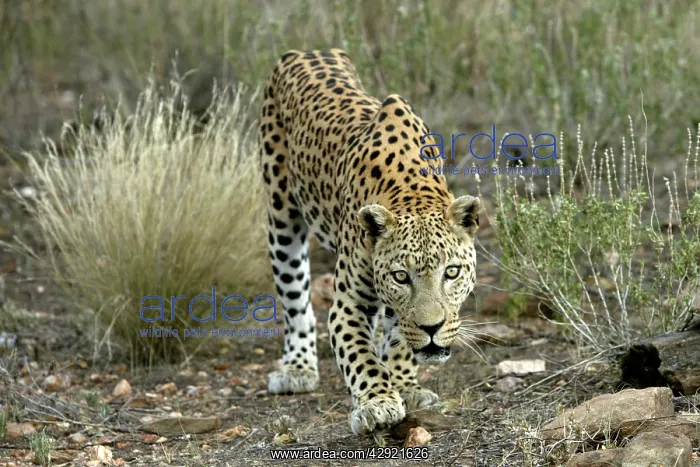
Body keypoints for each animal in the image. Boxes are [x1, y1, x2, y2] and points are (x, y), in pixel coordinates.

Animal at [258, 48, 482, 436]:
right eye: (401, 277)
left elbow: (399, 338)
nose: (433, 328)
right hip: (281, 216)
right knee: (295, 300)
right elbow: (358, 354)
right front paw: (377, 402)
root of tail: (309, 51)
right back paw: (297, 368)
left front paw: (405, 385)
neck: (412, 193)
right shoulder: (350, 302)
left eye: (451, 272)